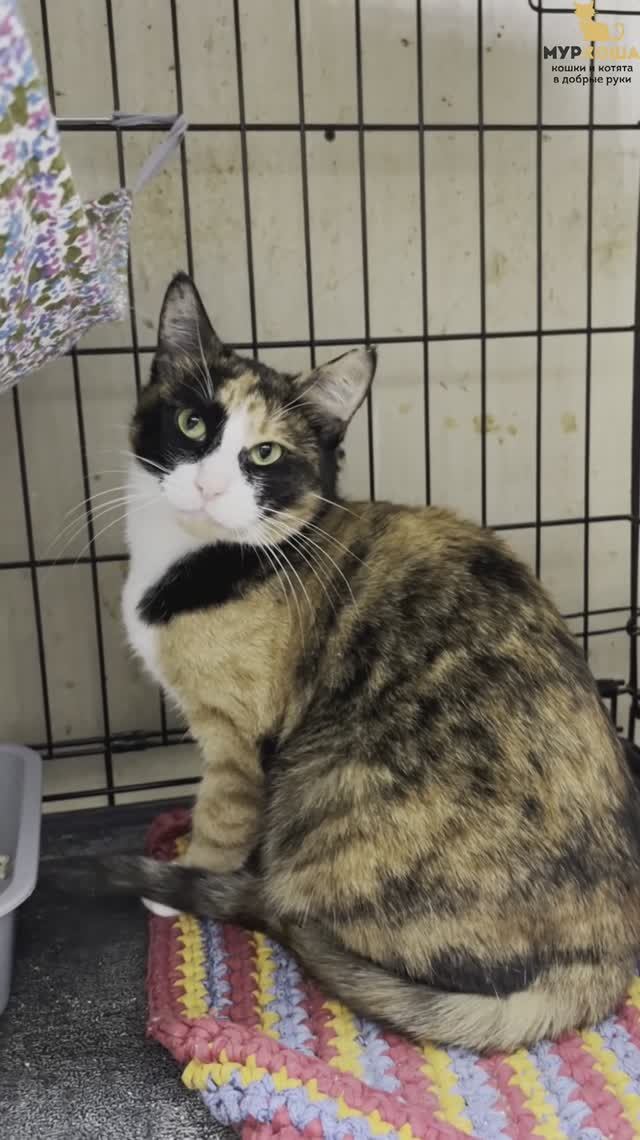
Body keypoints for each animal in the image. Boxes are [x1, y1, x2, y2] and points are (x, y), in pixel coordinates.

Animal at [81, 272, 640, 1053]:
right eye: (193, 425)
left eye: (265, 456)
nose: (209, 487)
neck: (194, 557)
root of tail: (608, 953)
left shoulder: (234, 735)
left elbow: (222, 812)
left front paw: (187, 875)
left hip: (326, 786)